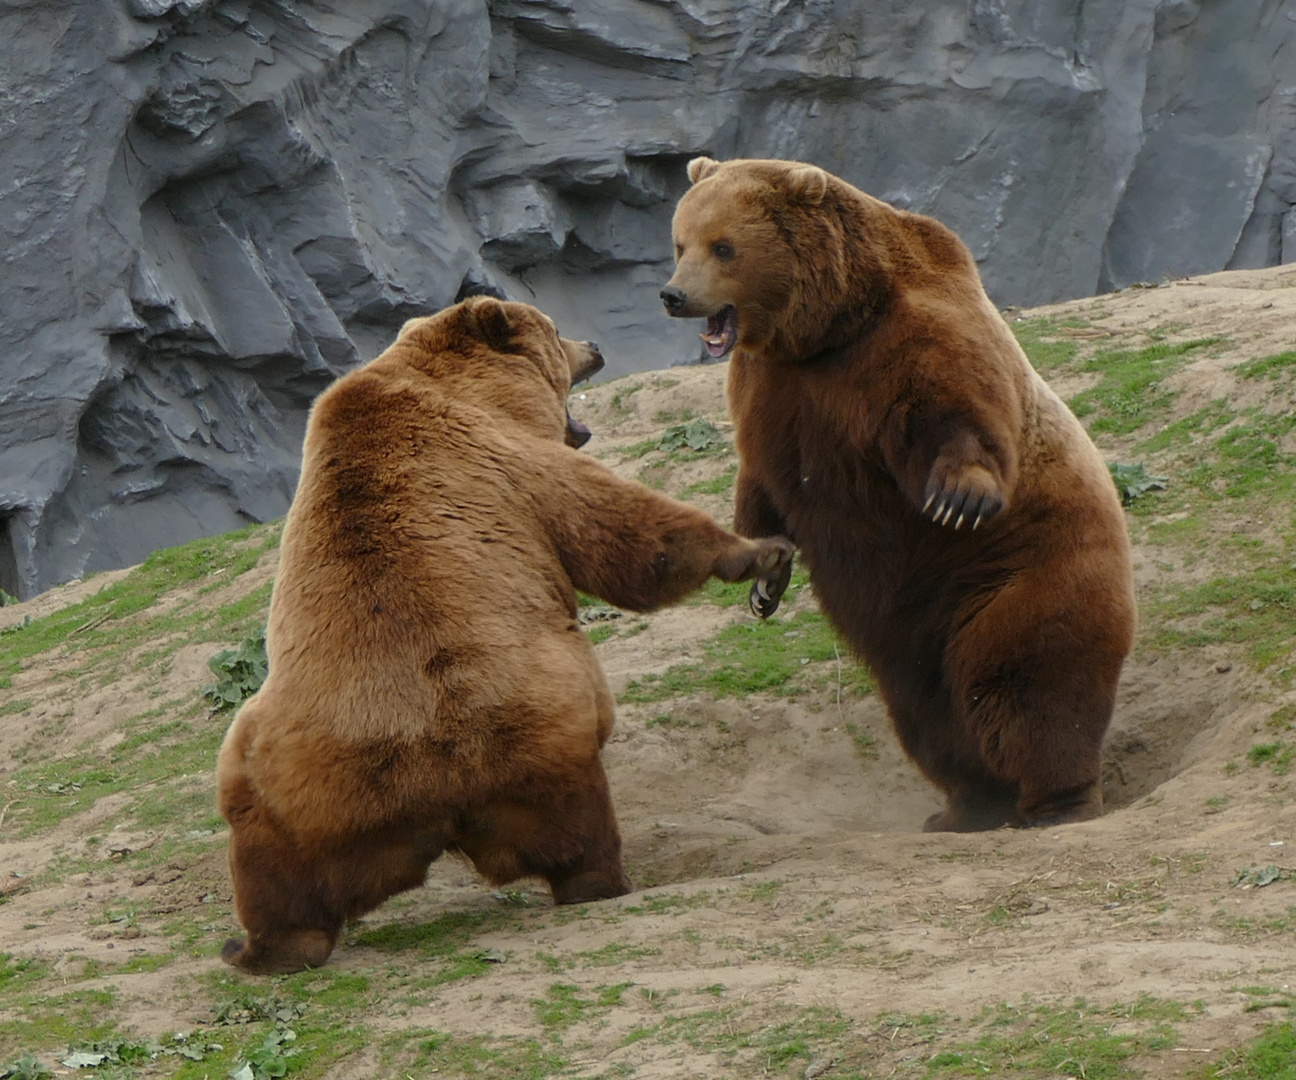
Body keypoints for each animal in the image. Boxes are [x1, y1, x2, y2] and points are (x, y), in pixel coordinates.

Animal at [217, 296, 793, 974]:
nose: (595, 344)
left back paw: (260, 947)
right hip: (539, 723)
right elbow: (625, 530)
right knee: (577, 826)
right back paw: (602, 881)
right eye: (556, 329)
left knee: (276, 875)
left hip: (285, 787)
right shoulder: (510, 458)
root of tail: (433, 790)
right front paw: (762, 554)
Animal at [663, 155, 1140, 834]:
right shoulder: (776, 390)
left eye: (723, 246)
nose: (674, 294)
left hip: (1022, 572)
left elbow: (960, 410)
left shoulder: (906, 344)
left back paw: (1056, 803)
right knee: (930, 716)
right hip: (915, 635)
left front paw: (958, 496)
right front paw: (764, 579)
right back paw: (965, 807)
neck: (827, 329)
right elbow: (762, 482)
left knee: (1031, 684)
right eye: (681, 243)